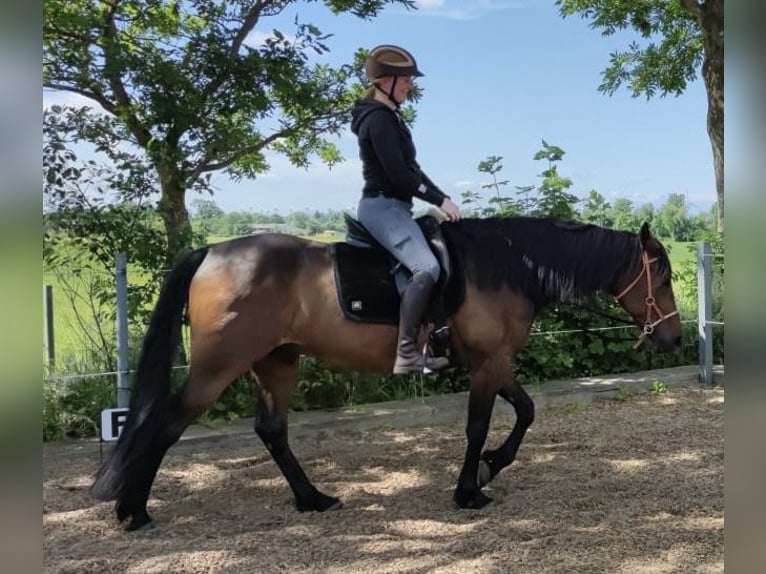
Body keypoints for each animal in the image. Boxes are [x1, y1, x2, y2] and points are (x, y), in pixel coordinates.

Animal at [91, 218, 684, 532]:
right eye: (662, 277)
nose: (674, 338)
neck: (505, 268)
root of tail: (214, 252)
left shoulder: (495, 362)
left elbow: (526, 410)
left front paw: (493, 465)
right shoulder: (487, 365)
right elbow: (478, 426)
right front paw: (470, 489)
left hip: (277, 362)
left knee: (272, 430)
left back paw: (313, 499)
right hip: (220, 366)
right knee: (163, 425)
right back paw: (133, 510)